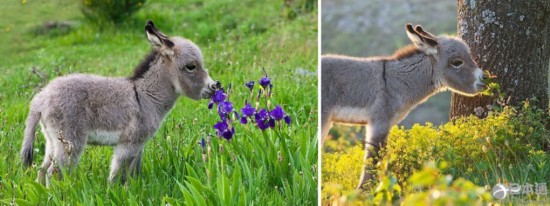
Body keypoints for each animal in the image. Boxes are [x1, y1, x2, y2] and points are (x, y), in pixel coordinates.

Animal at [21, 20, 220, 187]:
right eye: (191, 67)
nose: (215, 86)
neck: (145, 96)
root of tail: (40, 99)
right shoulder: (128, 144)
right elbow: (116, 175)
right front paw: (113, 193)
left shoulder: (139, 145)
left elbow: (133, 174)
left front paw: (132, 190)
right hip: (70, 141)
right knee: (53, 173)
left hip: (51, 140)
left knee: (42, 170)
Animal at [324, 24, 488, 190]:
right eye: (457, 62)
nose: (485, 77)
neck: (393, 82)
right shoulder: (379, 122)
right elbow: (373, 159)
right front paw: (364, 191)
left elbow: (381, 158)